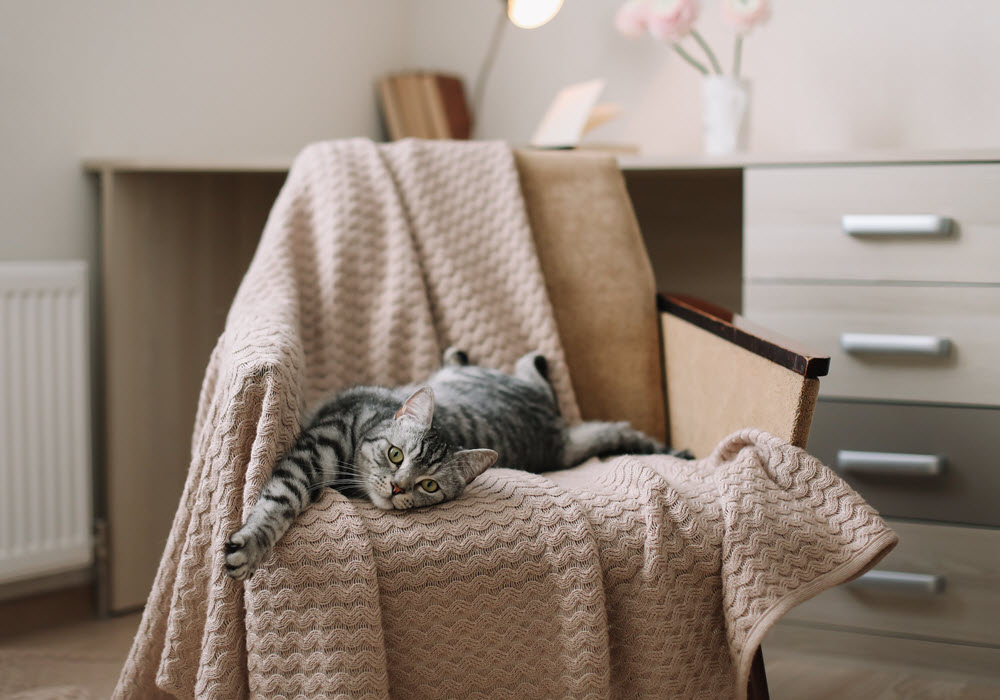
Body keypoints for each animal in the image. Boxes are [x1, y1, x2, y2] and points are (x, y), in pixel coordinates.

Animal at [226, 348, 676, 584]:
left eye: (429, 486)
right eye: (396, 454)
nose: (397, 487)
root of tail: (558, 439)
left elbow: (281, 498)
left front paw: (250, 546)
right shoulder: (314, 450)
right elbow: (281, 500)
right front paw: (253, 542)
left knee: (530, 370)